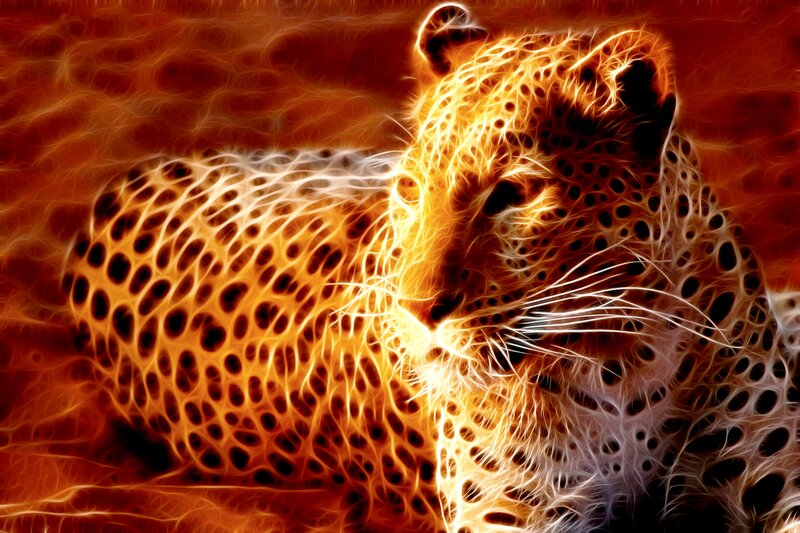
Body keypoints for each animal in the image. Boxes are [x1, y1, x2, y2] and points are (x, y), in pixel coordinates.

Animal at [63, 3, 800, 532]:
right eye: (412, 188)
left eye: (513, 194)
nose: (416, 312)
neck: (619, 353)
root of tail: (138, 171)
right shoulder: (514, 510)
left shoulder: (775, 471)